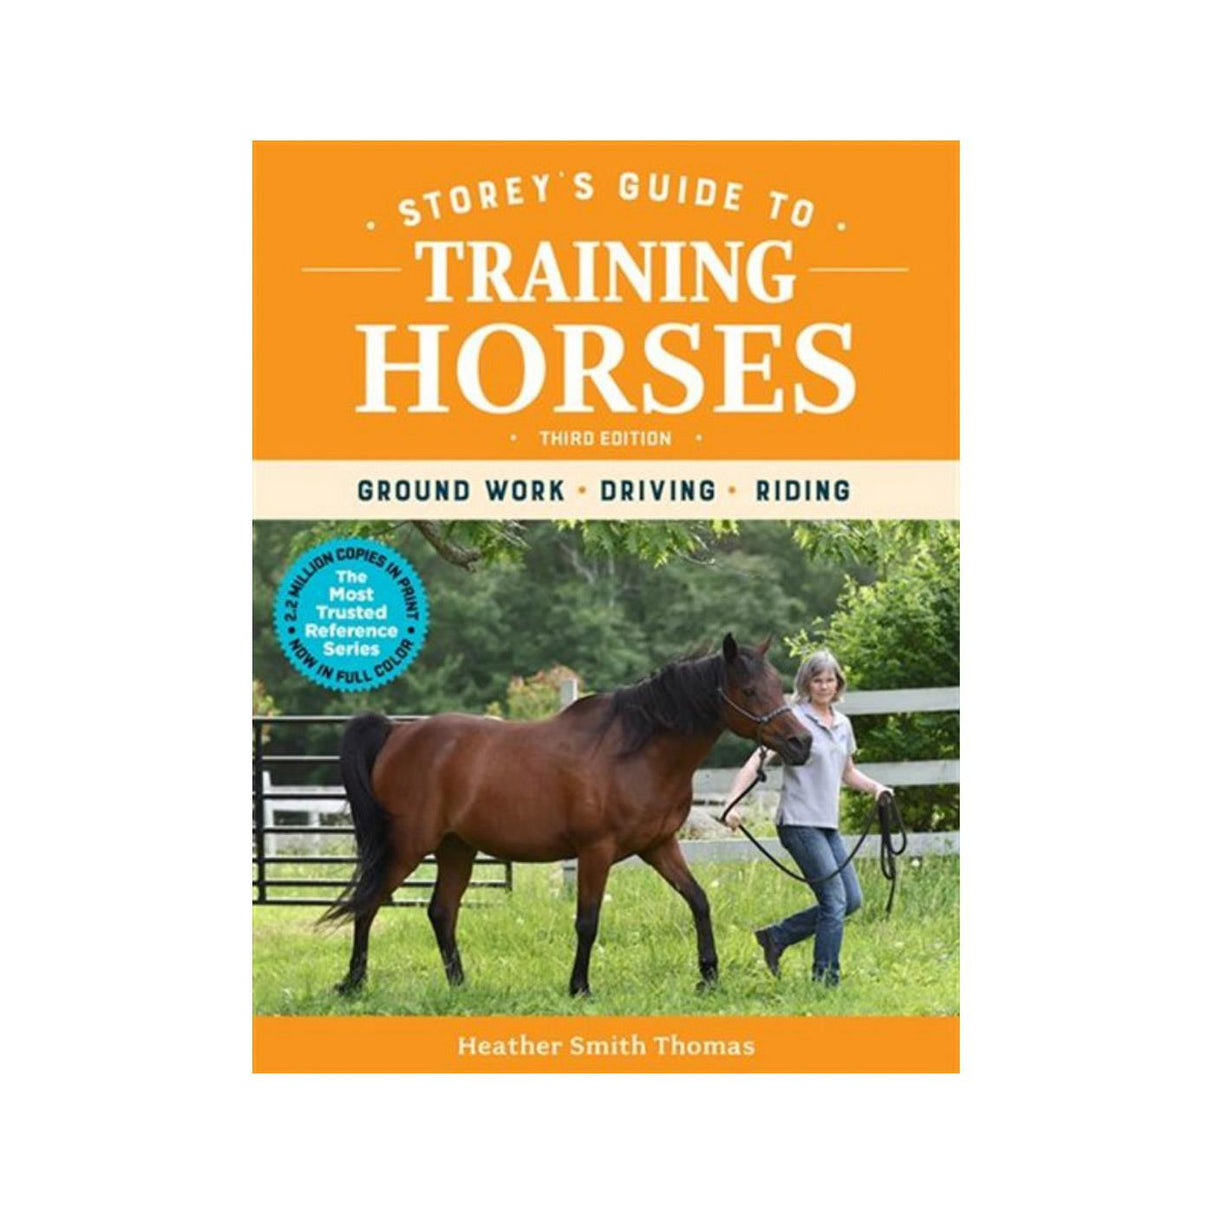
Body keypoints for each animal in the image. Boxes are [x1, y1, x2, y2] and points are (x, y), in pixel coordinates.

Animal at [323, 633, 812, 997]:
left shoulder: (659, 846)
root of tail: (396, 733)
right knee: (368, 902)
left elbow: (698, 900)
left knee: (441, 912)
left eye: (778, 685)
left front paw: (708, 975)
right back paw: (354, 982)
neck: (636, 751)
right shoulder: (595, 852)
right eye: (749, 690)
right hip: (408, 846)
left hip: (456, 849)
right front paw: (580, 987)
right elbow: (587, 921)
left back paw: (459, 985)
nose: (801, 743)